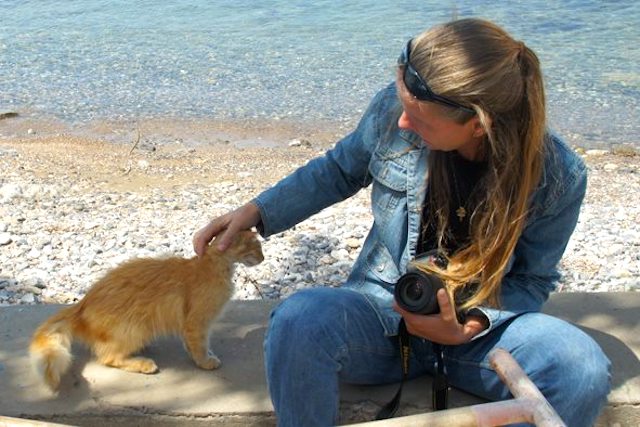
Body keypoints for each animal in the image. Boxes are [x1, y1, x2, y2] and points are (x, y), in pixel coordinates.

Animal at [28, 231, 264, 392]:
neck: (211, 267)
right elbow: (199, 344)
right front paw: (205, 361)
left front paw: (203, 355)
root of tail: (82, 304)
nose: (262, 258)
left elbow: (192, 344)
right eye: (256, 249)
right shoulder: (197, 322)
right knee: (108, 357)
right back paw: (143, 363)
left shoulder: (191, 324)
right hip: (136, 329)